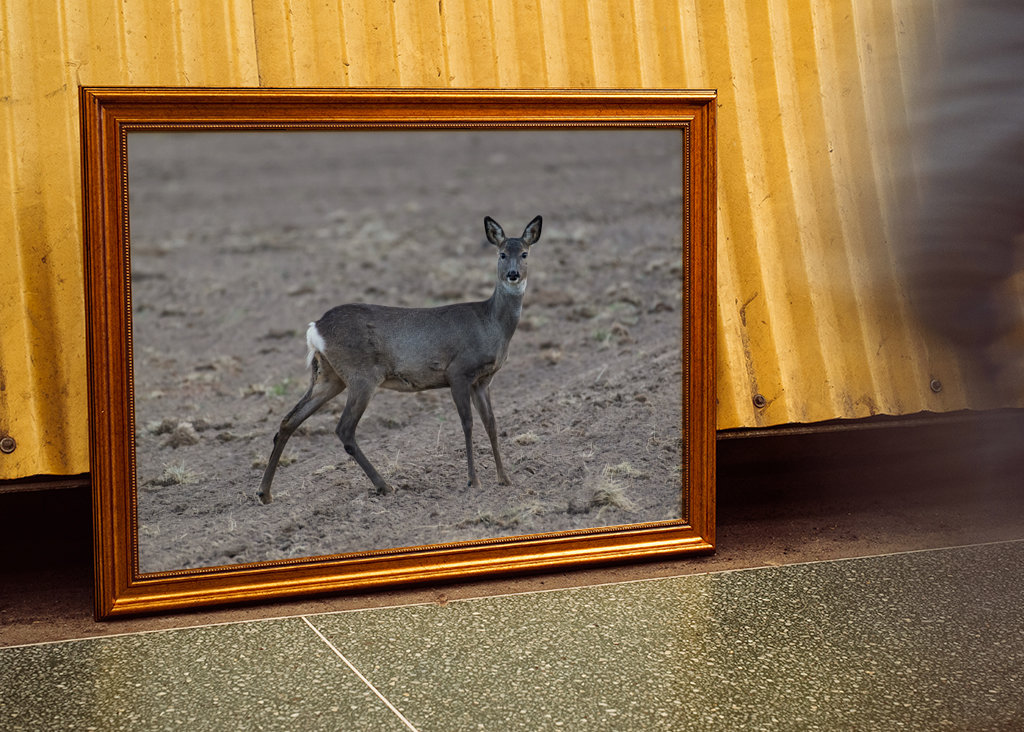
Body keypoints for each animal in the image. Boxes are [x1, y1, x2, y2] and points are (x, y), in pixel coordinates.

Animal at [257, 215, 542, 505]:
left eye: (525, 253)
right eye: (502, 254)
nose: (513, 274)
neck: (490, 325)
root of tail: (315, 329)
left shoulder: (483, 381)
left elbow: (492, 424)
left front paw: (505, 478)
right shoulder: (458, 372)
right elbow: (468, 424)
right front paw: (474, 481)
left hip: (329, 376)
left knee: (289, 420)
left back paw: (265, 493)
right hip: (362, 375)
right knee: (344, 429)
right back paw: (385, 486)